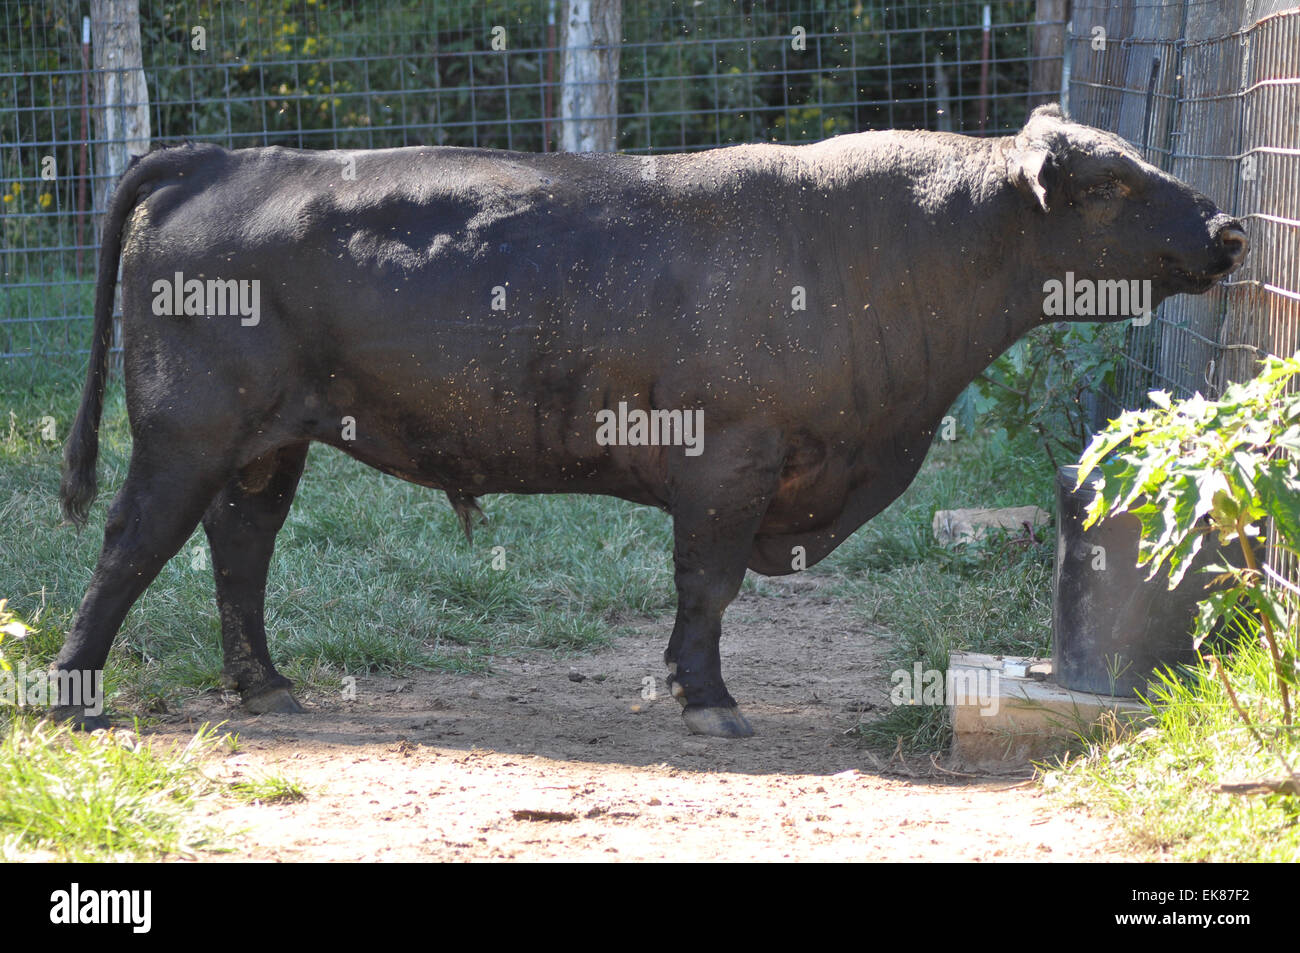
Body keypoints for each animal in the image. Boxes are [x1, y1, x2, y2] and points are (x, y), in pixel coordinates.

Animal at [54, 104, 1247, 737]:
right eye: (1109, 181)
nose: (1230, 228)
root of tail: (231, 156)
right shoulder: (729, 461)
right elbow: (706, 586)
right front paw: (707, 698)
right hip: (187, 433)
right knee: (130, 544)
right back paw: (73, 695)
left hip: (268, 443)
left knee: (238, 546)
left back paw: (265, 684)